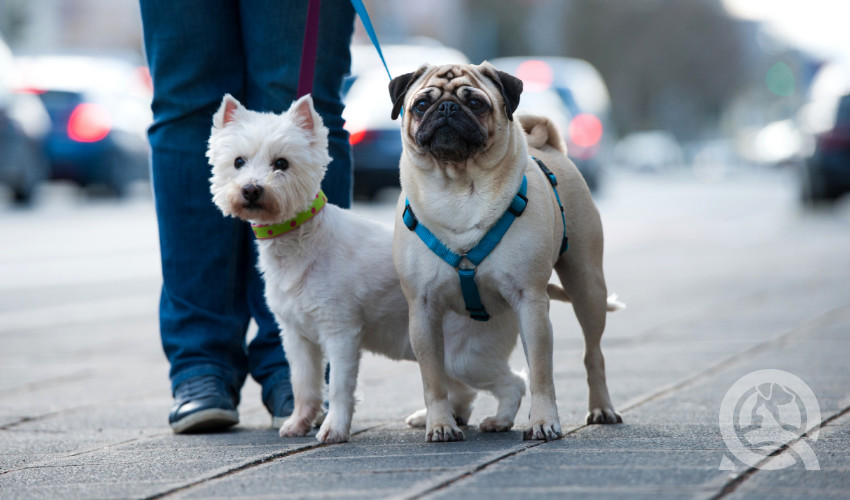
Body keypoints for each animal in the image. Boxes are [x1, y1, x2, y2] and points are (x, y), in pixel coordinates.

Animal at [207, 94, 524, 446]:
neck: (298, 245)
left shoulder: (340, 331)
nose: (250, 189)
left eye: (281, 164)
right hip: (442, 349)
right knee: (459, 389)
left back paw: (498, 421)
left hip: (466, 356)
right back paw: (434, 418)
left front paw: (333, 429)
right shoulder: (296, 336)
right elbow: (304, 384)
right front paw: (298, 423)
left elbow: (339, 386)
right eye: (238, 162)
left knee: (513, 383)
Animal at [388, 61, 620, 442]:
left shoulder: (531, 301)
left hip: (588, 286)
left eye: (476, 103)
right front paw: (440, 423)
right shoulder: (421, 310)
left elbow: (540, 371)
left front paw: (543, 421)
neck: (458, 185)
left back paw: (601, 408)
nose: (447, 108)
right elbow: (432, 378)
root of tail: (550, 146)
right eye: (421, 104)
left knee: (593, 354)